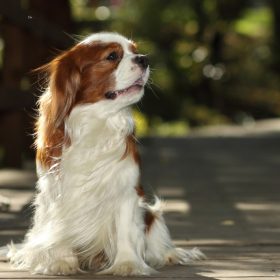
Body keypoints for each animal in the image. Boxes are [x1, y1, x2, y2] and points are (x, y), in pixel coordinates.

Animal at [8, 32, 203, 276]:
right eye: (112, 56)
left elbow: (125, 231)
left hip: (152, 215)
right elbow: (58, 227)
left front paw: (127, 264)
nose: (144, 59)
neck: (98, 122)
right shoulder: (55, 190)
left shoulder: (126, 190)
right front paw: (61, 261)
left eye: (135, 51)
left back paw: (167, 255)